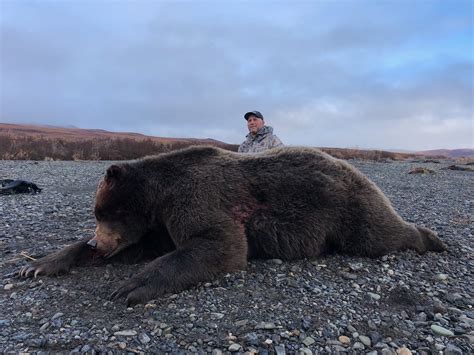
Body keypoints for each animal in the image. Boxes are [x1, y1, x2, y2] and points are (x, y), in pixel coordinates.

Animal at [19, 146, 448, 304]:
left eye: (102, 213)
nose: (99, 245)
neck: (158, 195)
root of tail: (353, 166)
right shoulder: (158, 225)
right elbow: (146, 246)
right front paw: (37, 264)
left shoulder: (195, 197)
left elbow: (219, 243)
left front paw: (131, 286)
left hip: (346, 206)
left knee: (378, 234)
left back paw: (432, 238)